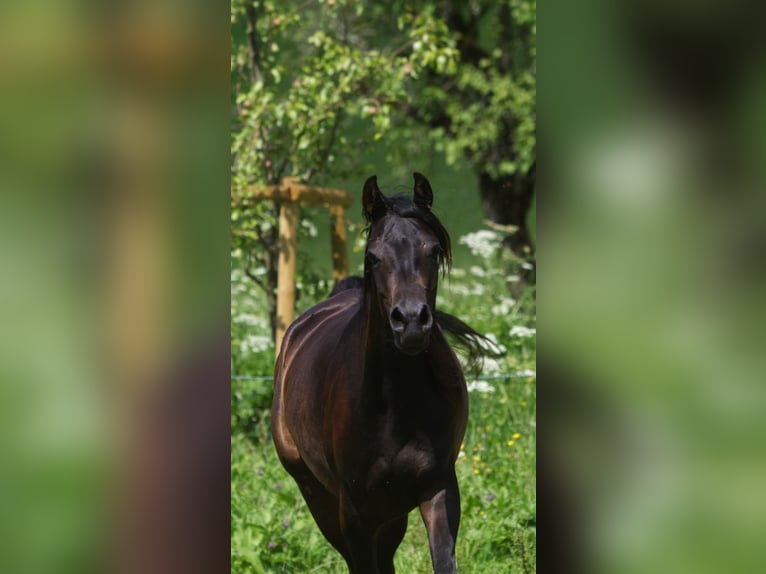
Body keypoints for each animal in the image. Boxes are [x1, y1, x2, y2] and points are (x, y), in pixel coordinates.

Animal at [272, 173, 484, 573]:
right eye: (373, 256)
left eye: (433, 250)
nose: (411, 321)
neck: (394, 406)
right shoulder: (355, 513)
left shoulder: (438, 489)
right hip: (319, 498)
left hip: (391, 513)